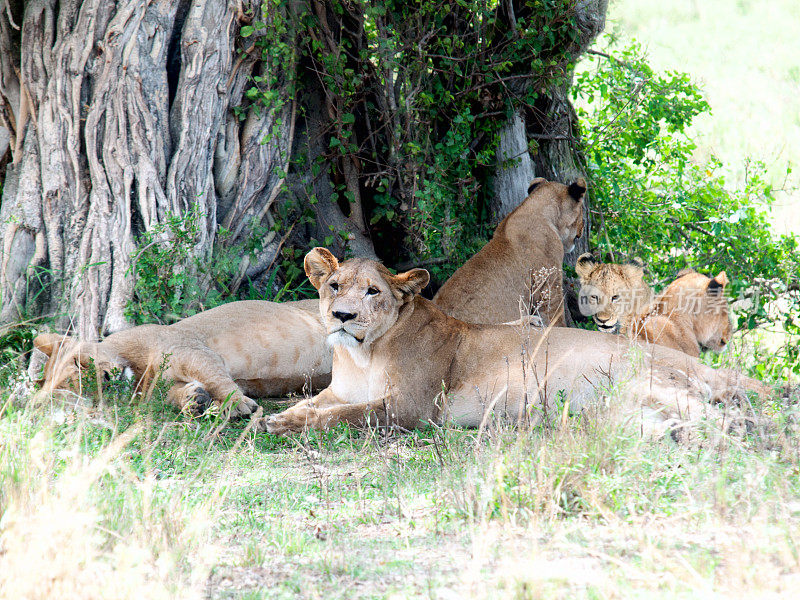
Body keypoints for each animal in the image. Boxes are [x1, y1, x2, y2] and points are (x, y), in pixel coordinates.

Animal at [34, 300, 332, 418]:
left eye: (78, 361)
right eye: (82, 389)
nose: (106, 379)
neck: (137, 373)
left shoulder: (191, 349)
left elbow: (217, 378)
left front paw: (239, 405)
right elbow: (177, 393)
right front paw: (194, 401)